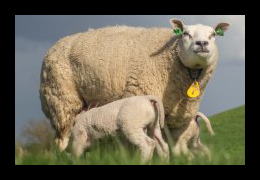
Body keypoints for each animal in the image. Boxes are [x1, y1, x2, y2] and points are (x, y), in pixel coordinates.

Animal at [39, 17, 231, 156]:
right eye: (185, 33)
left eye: (213, 34)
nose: (202, 44)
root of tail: (57, 43)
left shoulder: (179, 121)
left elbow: (176, 150)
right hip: (62, 101)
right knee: (62, 139)